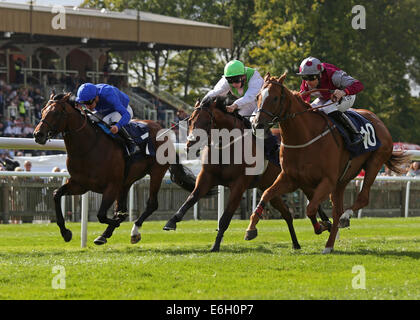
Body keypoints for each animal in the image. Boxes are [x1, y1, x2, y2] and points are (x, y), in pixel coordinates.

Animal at [32, 92, 197, 245]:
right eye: (43, 110)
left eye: (56, 113)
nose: (38, 134)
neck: (88, 147)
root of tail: (164, 131)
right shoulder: (80, 184)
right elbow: (56, 194)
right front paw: (66, 232)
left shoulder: (111, 186)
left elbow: (102, 215)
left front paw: (117, 223)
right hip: (126, 181)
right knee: (123, 207)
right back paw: (104, 235)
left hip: (156, 172)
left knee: (151, 204)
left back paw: (134, 231)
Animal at [162, 96, 330, 251]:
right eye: (190, 120)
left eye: (207, 122)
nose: (190, 144)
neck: (227, 146)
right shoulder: (207, 177)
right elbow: (192, 198)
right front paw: (171, 222)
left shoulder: (239, 185)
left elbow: (225, 218)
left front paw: (215, 245)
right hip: (270, 188)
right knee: (287, 214)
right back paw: (296, 243)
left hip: (300, 181)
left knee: (313, 200)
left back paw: (326, 224)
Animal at [248, 72, 408, 252]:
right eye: (257, 97)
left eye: (275, 98)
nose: (257, 124)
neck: (305, 137)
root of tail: (378, 120)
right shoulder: (291, 179)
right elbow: (267, 194)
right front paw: (250, 228)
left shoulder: (327, 181)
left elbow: (311, 209)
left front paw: (322, 226)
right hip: (342, 180)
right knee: (337, 210)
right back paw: (329, 245)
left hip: (374, 163)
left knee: (361, 198)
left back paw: (345, 218)